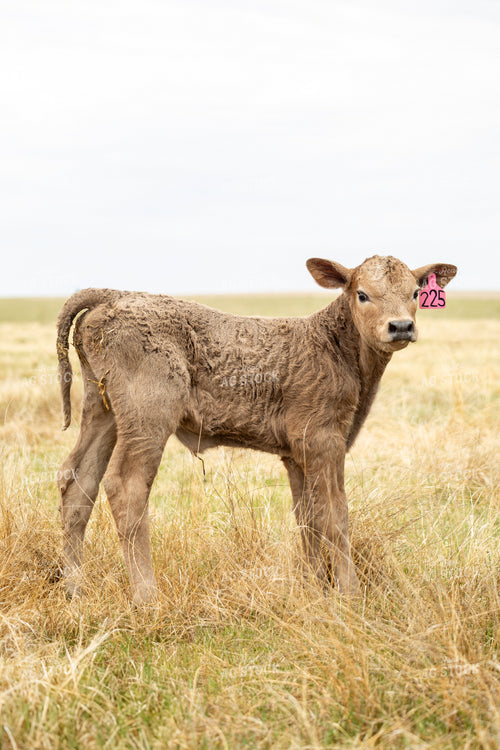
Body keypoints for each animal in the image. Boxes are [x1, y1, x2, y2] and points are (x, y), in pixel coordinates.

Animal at [56, 255, 457, 604]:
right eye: (362, 294)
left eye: (415, 293)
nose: (401, 326)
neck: (334, 348)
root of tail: (114, 294)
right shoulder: (322, 441)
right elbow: (335, 515)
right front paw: (349, 593)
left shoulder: (298, 454)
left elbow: (308, 517)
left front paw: (314, 589)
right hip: (148, 416)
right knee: (126, 486)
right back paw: (146, 595)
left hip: (102, 411)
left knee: (78, 479)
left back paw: (75, 587)